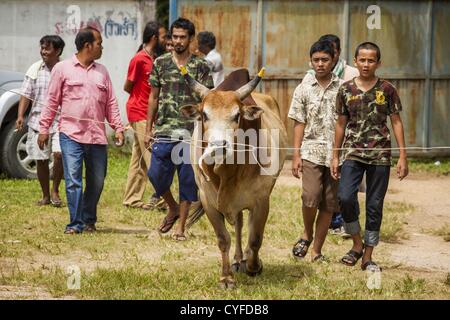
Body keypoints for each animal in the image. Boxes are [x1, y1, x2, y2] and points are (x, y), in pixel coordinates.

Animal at [178, 67, 286, 288]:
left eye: (237, 116)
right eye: (204, 115)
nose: (219, 146)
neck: (226, 173)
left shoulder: (261, 201)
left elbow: (255, 238)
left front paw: (254, 266)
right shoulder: (208, 201)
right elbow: (223, 239)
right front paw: (226, 277)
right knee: (238, 224)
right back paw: (237, 260)